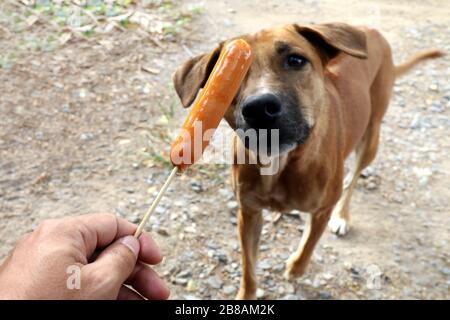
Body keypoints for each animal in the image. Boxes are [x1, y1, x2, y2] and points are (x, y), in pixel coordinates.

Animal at [172, 23, 442, 300]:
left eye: (295, 60)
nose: (259, 107)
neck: (280, 164)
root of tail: (370, 30)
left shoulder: (321, 209)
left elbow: (309, 244)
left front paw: (295, 268)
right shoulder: (248, 214)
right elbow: (248, 268)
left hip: (371, 137)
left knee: (355, 177)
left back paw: (342, 216)